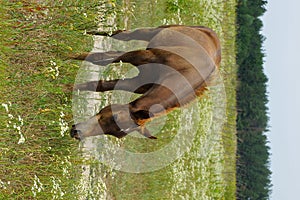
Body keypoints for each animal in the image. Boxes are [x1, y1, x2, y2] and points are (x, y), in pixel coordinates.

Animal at [70, 25, 220, 140]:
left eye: (116, 134)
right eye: (115, 116)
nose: (76, 132)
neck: (182, 72)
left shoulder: (137, 82)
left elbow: (99, 85)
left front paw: (67, 88)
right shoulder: (142, 56)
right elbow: (99, 57)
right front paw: (68, 56)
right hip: (152, 32)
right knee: (122, 35)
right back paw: (86, 31)